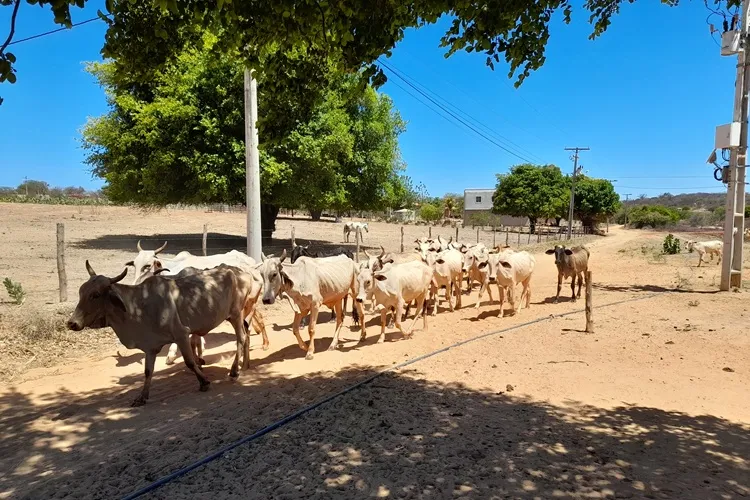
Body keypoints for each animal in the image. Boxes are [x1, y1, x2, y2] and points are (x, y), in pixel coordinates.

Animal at [67, 262, 256, 406]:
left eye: (96, 295)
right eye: (81, 292)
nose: (72, 323)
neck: (139, 305)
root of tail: (240, 271)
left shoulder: (181, 334)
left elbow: (189, 362)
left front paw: (204, 382)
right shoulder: (150, 346)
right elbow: (148, 371)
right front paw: (142, 397)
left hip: (236, 314)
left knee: (241, 338)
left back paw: (234, 371)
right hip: (237, 316)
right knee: (246, 334)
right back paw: (244, 365)